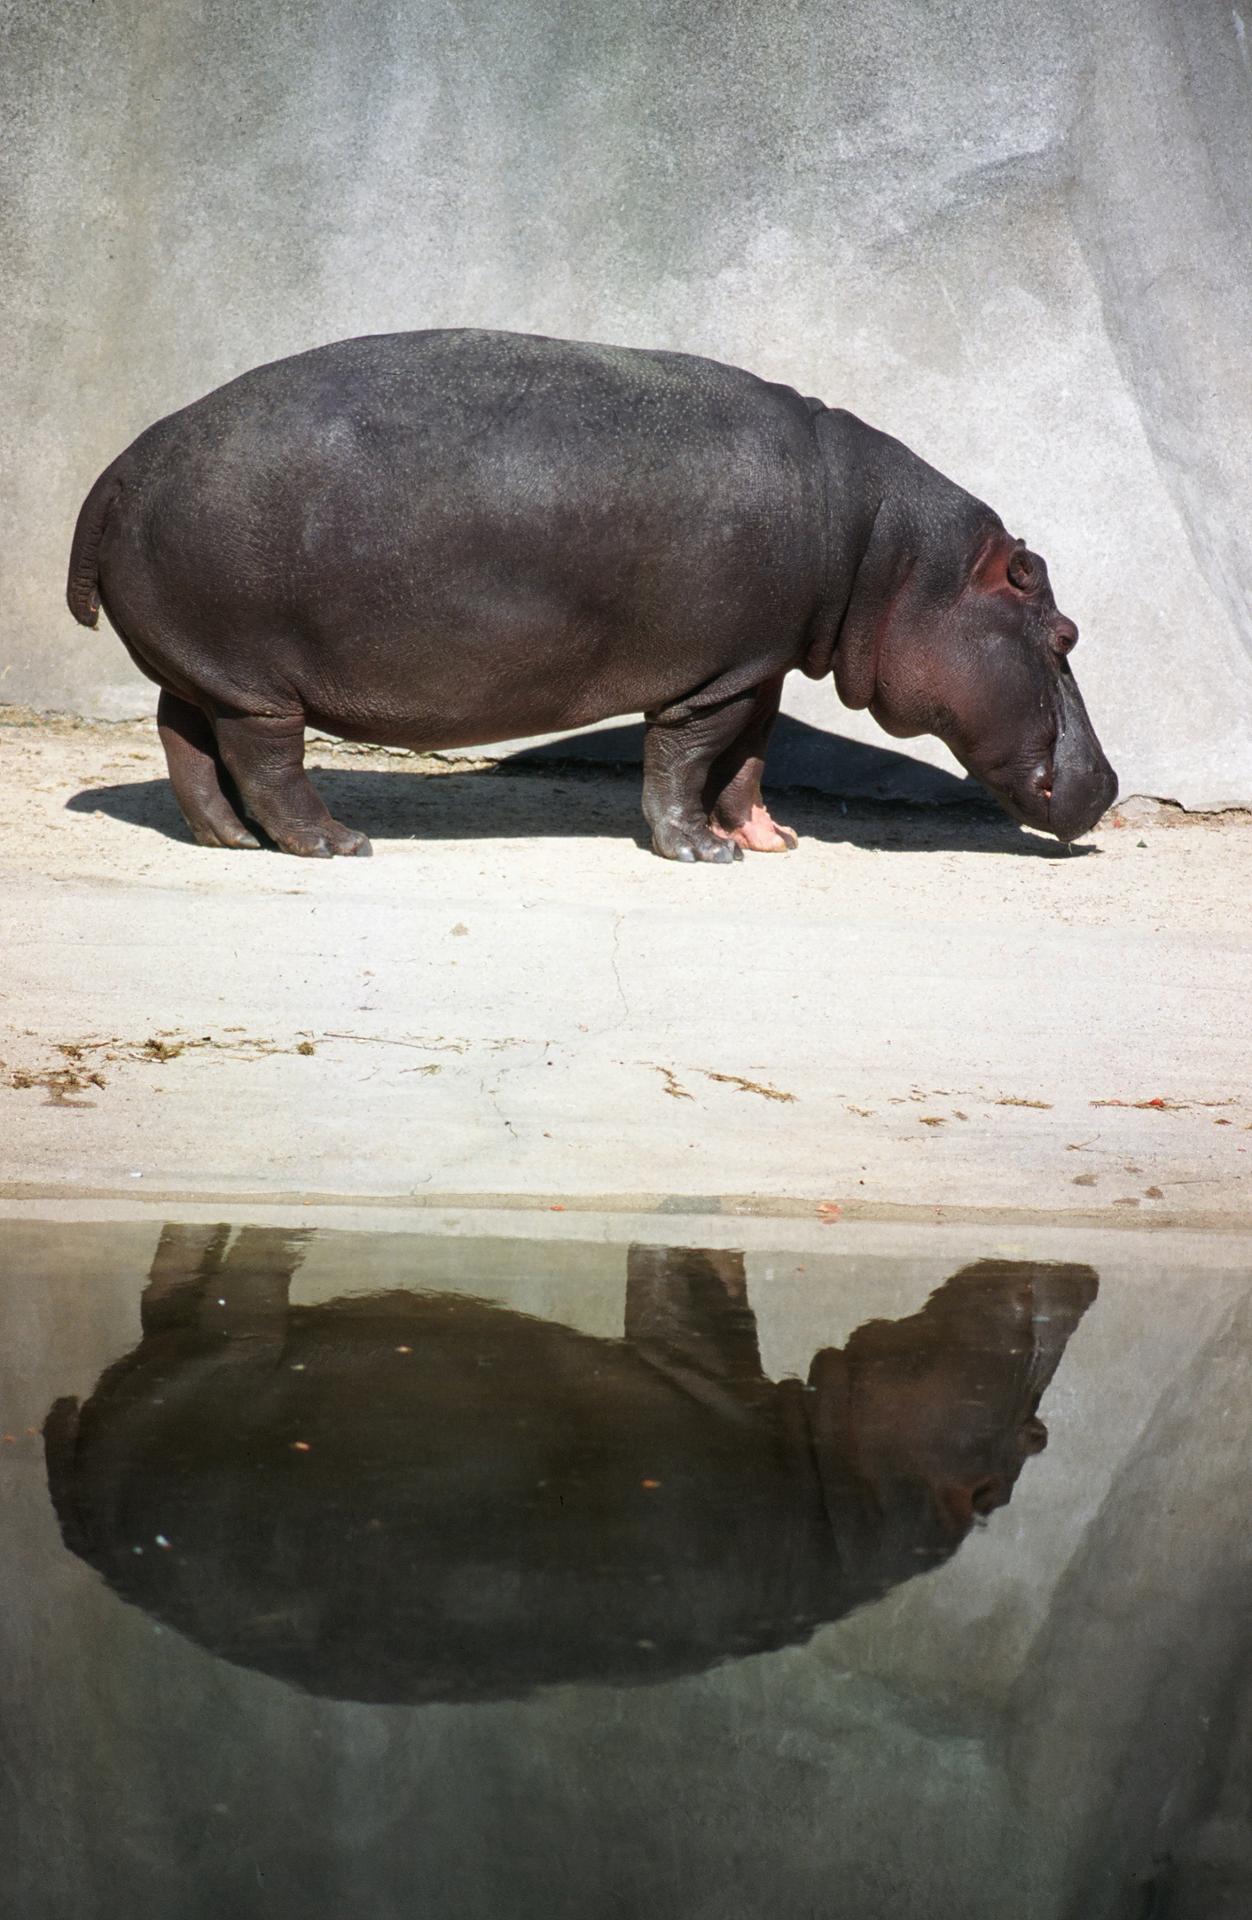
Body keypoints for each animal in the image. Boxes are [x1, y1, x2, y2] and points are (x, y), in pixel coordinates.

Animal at [43, 1221, 1090, 1704]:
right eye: (1034, 1437)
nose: (1085, 1276)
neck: (846, 1506)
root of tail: (85, 1525)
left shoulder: (698, 1365)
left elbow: (688, 1291)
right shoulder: (709, 1371)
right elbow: (703, 1283)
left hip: (224, 1359)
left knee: (217, 1287)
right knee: (189, 1282)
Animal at [68, 332, 1113, 864]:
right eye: (1065, 633)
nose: (1107, 785)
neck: (888, 554)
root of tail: (116, 468)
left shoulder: (759, 663)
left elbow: (748, 759)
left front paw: (770, 840)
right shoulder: (715, 674)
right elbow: (685, 757)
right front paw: (702, 853)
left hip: (205, 666)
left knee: (186, 742)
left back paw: (228, 842)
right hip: (256, 679)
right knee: (266, 761)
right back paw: (335, 843)